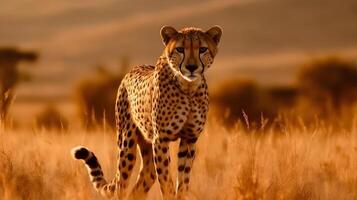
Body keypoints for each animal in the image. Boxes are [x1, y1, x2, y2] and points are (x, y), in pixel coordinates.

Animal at [71, 25, 221, 199]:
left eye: (203, 49)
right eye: (180, 49)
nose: (191, 67)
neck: (188, 87)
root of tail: (131, 70)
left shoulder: (190, 138)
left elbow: (183, 180)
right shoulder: (161, 139)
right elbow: (166, 181)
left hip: (148, 151)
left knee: (140, 185)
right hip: (127, 145)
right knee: (121, 185)